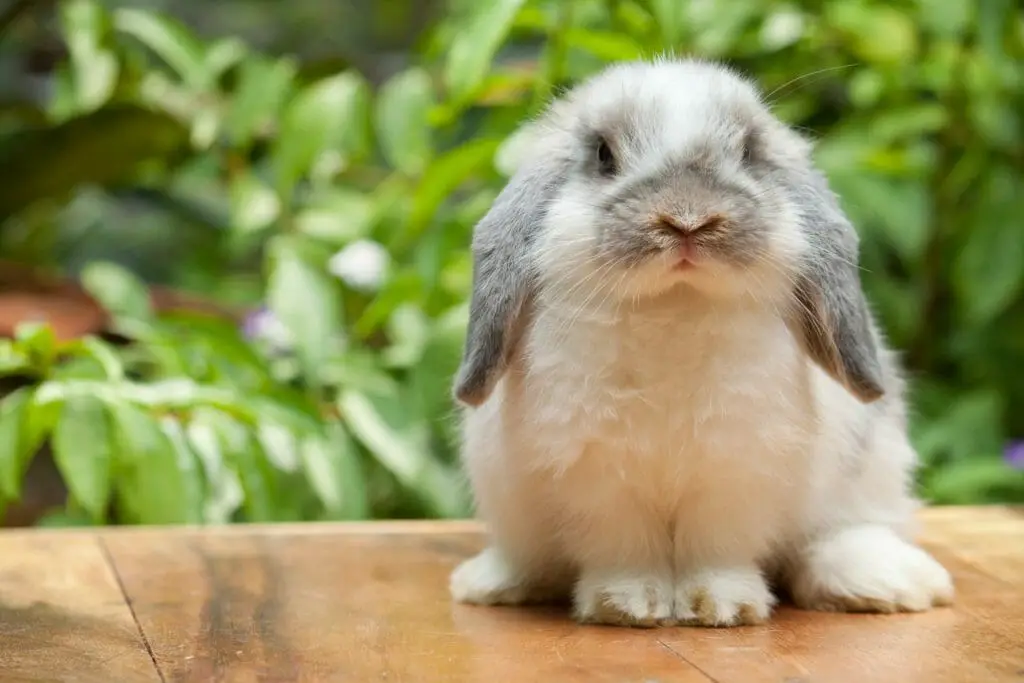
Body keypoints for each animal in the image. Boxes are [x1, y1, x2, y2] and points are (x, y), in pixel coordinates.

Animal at [447, 57, 954, 627]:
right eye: (603, 155)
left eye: (750, 152)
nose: (687, 219)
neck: (675, 306)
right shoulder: (598, 476)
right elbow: (623, 548)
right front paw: (628, 605)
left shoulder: (736, 469)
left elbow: (716, 548)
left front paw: (721, 607)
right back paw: (492, 582)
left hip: (869, 473)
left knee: (838, 537)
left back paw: (888, 583)